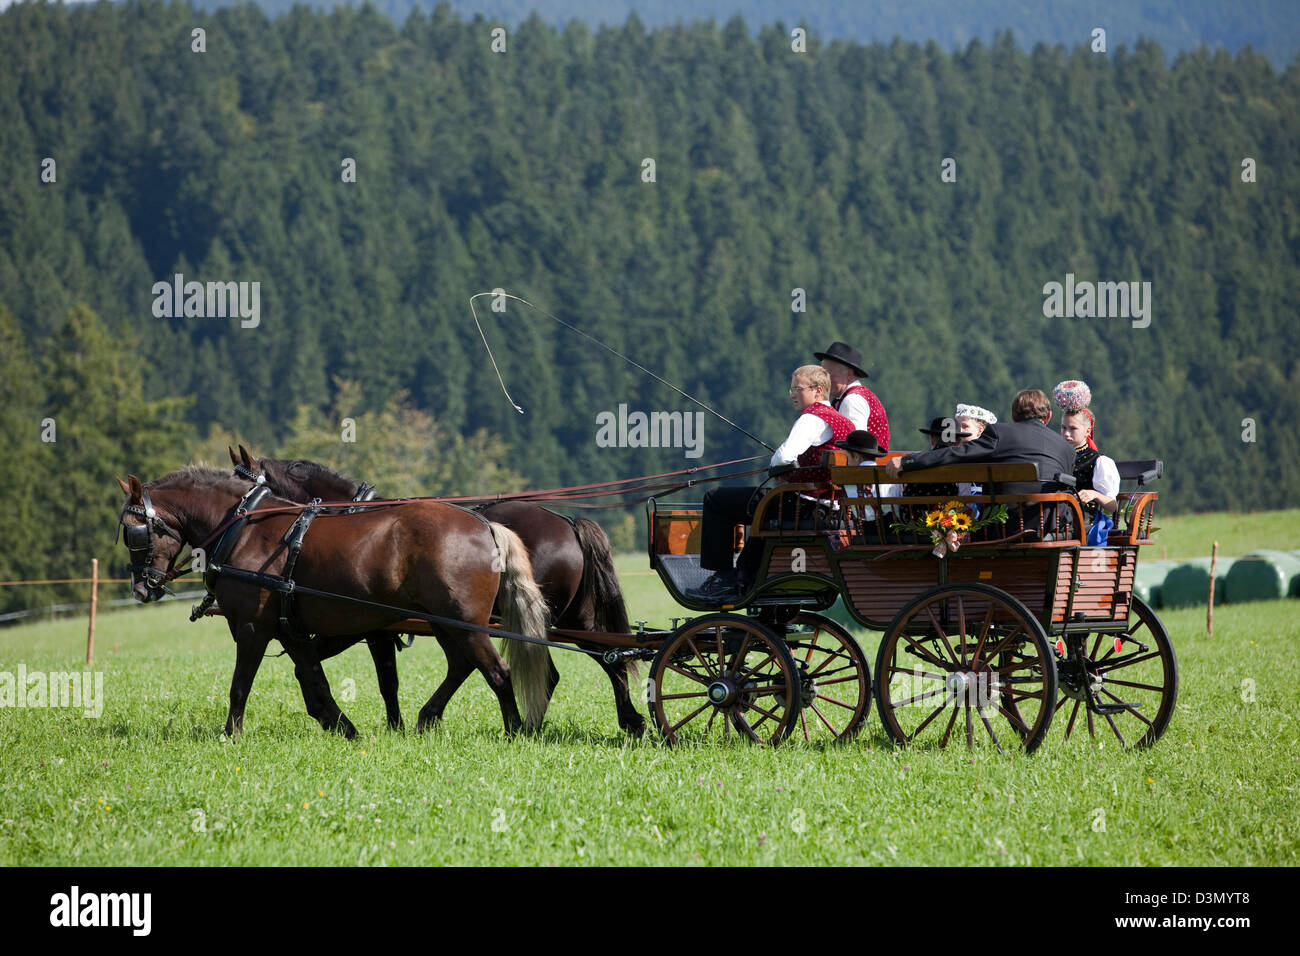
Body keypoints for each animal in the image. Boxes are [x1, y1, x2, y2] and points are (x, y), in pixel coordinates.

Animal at [113, 463, 553, 738]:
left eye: (134, 530)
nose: (142, 589)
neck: (242, 527)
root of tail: (486, 525)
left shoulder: (253, 627)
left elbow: (241, 685)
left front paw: (230, 735)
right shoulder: (288, 629)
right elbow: (312, 677)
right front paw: (341, 726)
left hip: (464, 622)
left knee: (498, 672)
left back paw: (515, 731)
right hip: (446, 623)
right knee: (464, 664)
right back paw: (432, 718)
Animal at [232, 447, 644, 733]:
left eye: (249, 488)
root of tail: (567, 522)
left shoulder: (365, 629)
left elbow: (382, 679)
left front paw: (384, 724)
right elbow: (378, 677)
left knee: (601, 660)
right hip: (557, 617)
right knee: (598, 659)